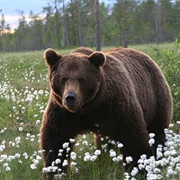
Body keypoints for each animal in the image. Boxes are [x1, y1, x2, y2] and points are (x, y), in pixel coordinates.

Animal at [40, 47, 172, 179]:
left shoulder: (115, 107)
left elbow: (132, 135)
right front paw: (54, 172)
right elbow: (56, 139)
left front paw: (140, 170)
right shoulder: (62, 112)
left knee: (157, 132)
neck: (87, 108)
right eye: (63, 78)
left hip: (154, 100)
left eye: (81, 79)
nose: (70, 97)